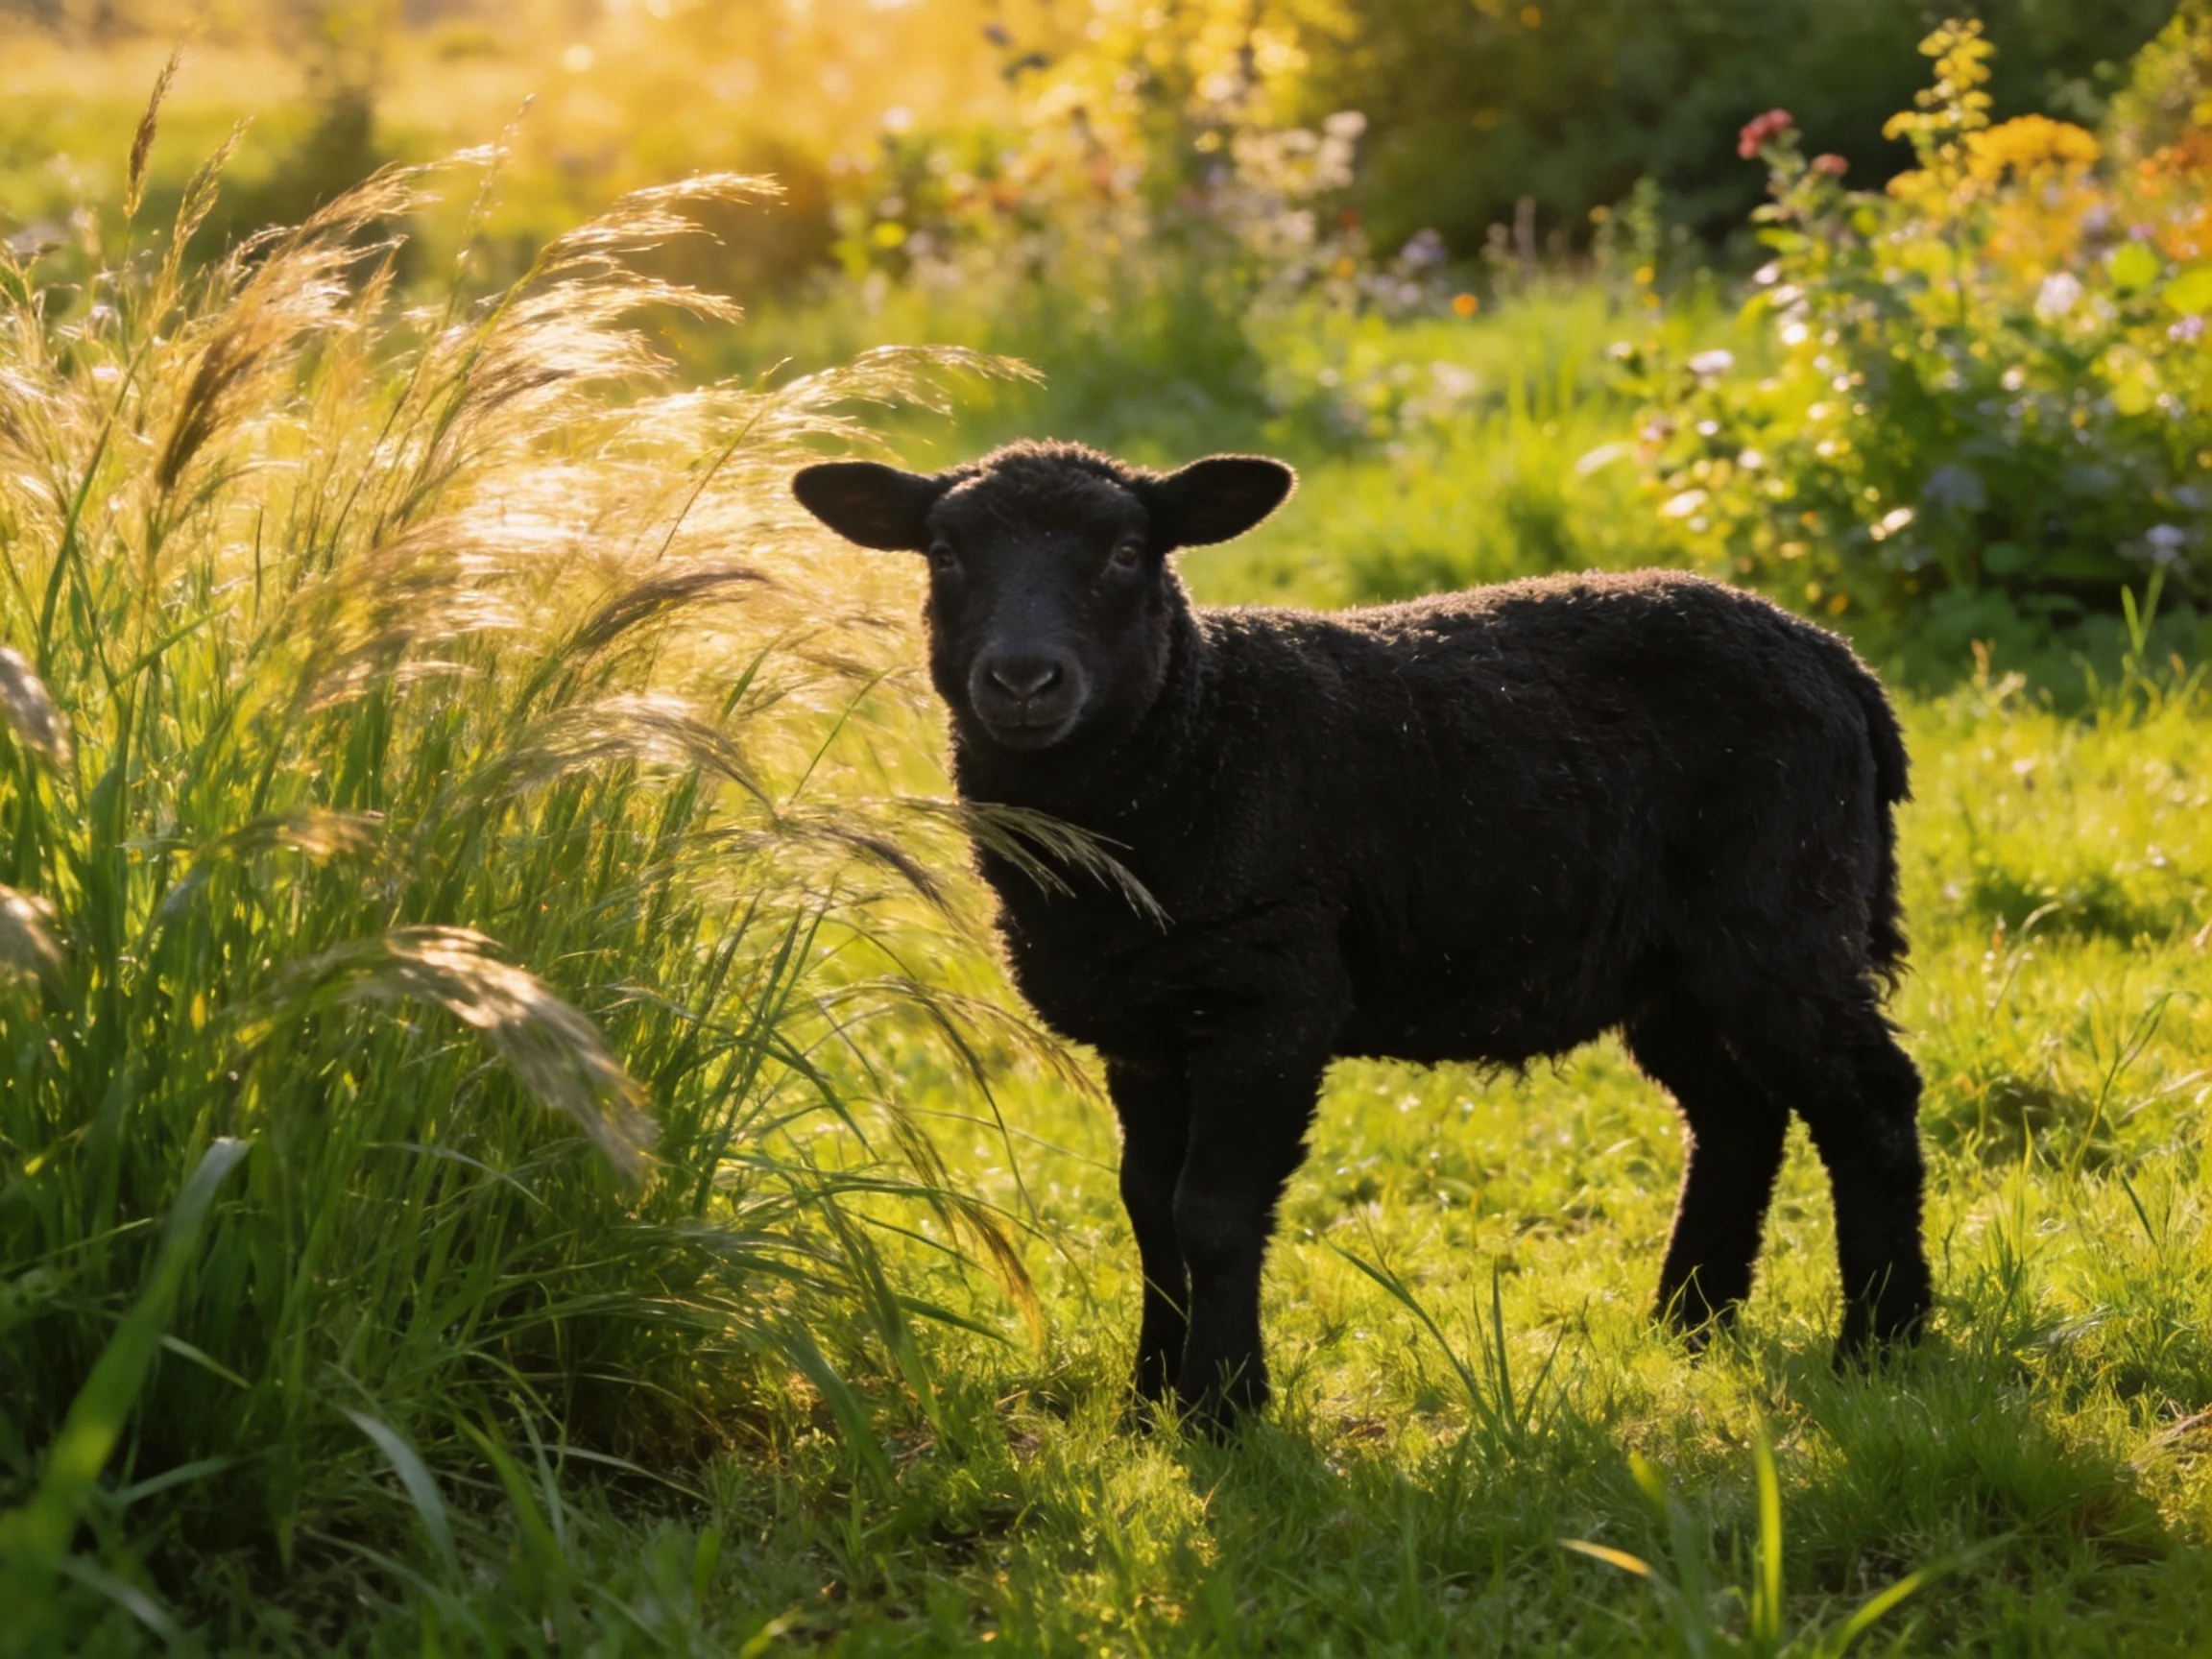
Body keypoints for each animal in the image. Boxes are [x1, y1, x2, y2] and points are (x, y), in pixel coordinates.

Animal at [793, 439, 1932, 1427]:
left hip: (1783, 914)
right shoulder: (1144, 1025)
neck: (1198, 743)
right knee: (1738, 1115)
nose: (1025, 680)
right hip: (1670, 964)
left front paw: (1224, 1408)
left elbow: (1213, 1210)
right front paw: (1148, 1400)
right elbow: (1147, 1208)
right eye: (945, 554)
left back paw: (1885, 1341)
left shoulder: (1271, 999)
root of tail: (1840, 663)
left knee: (1869, 1101)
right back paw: (1690, 1322)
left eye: (1126, 553)